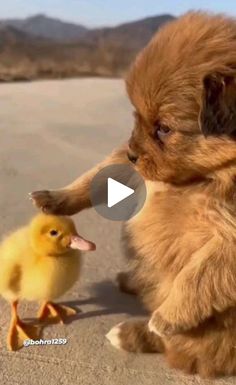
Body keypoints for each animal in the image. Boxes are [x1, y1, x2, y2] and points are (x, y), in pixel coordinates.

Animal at [31, 12, 236, 378]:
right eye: (137, 118)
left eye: (164, 128)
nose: (132, 153)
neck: (204, 176)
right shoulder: (132, 168)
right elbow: (97, 176)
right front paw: (56, 198)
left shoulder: (226, 239)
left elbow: (197, 279)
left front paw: (167, 317)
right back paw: (133, 281)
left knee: (194, 347)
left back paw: (133, 330)